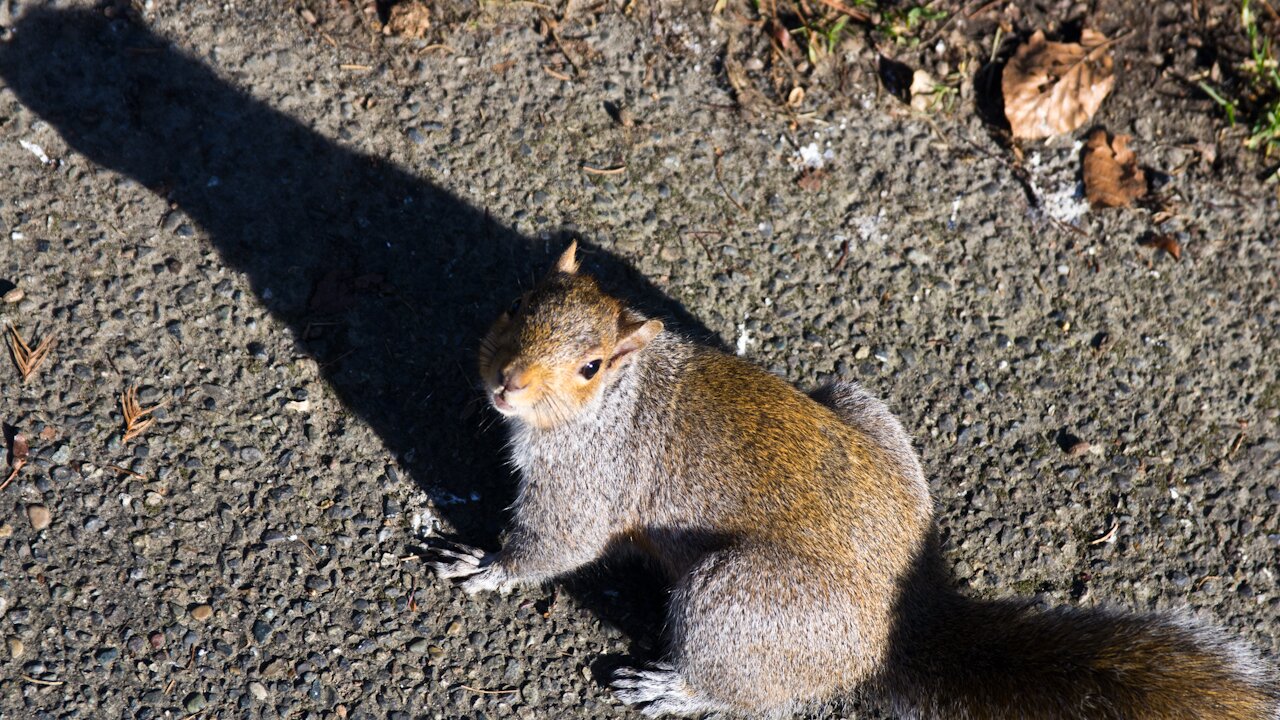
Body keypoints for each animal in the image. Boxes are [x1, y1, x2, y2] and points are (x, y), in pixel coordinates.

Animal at [424, 242, 1274, 717]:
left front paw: (483, 563)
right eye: (516, 304)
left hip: (737, 600)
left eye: (591, 366)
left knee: (740, 690)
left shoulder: (586, 483)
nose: (503, 383)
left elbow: (552, 546)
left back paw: (673, 689)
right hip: (855, 400)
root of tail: (900, 619)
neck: (615, 401)